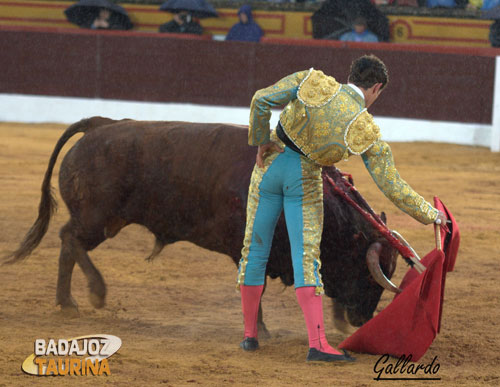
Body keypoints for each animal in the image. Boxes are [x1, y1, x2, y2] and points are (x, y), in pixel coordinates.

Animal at [6, 117, 398, 334]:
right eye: (367, 276)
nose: (362, 320)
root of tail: (102, 124)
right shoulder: (252, 248)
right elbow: (255, 288)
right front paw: (261, 330)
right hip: (97, 217)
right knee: (69, 238)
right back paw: (95, 294)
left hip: (103, 219)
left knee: (68, 245)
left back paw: (67, 302)